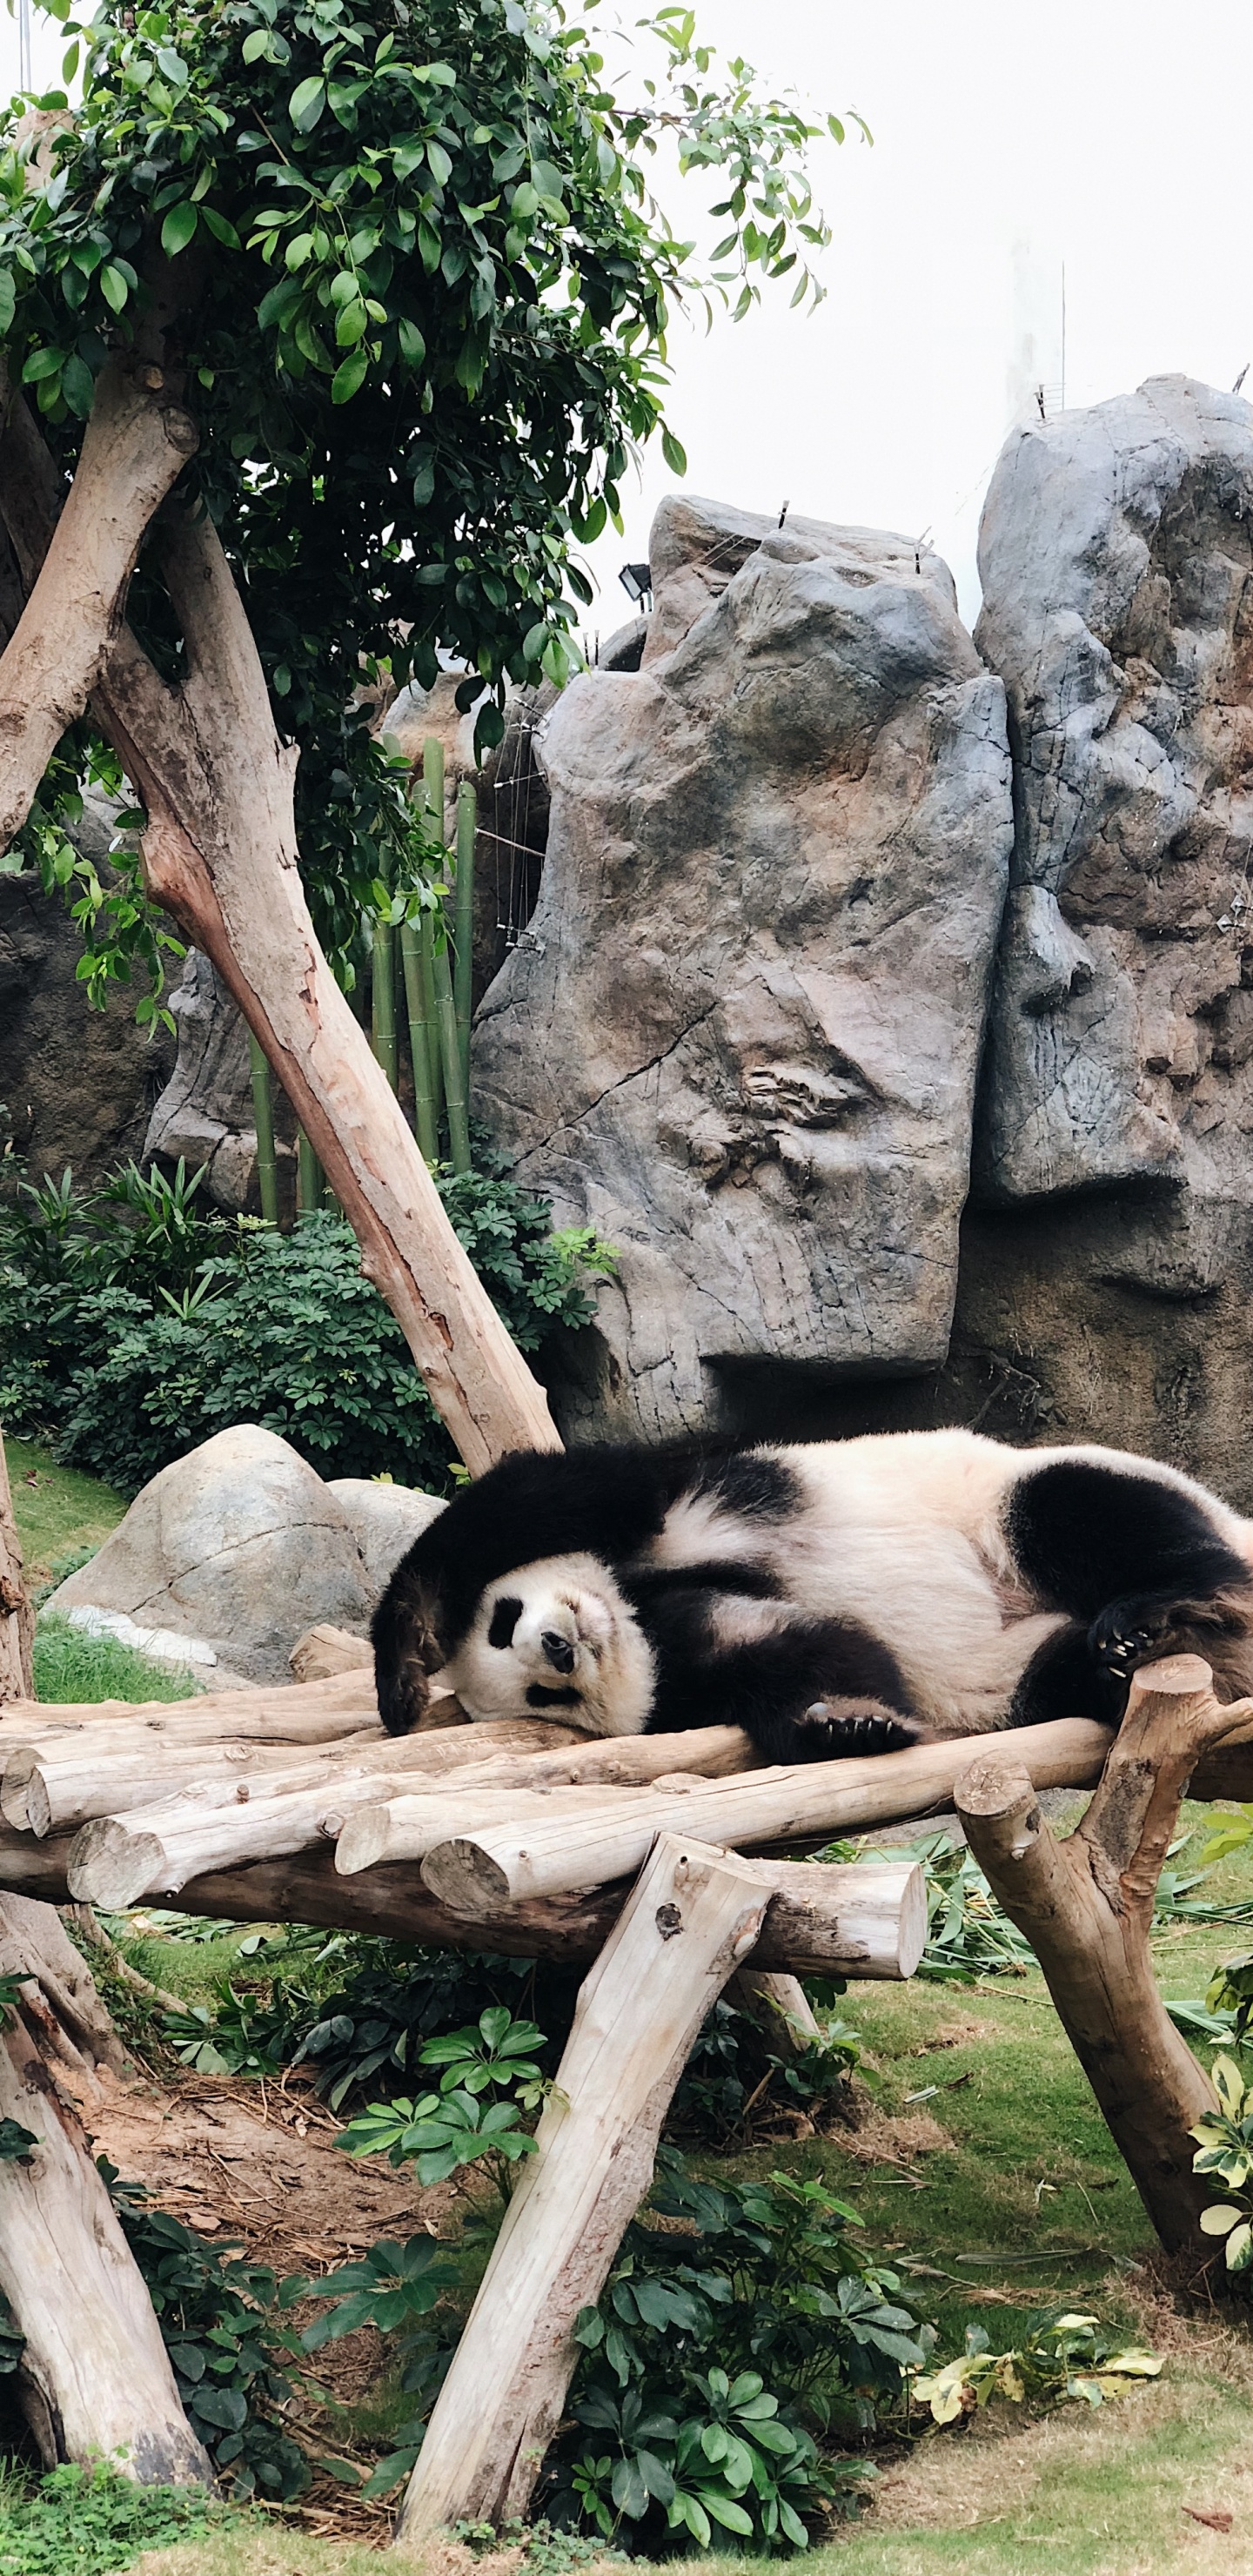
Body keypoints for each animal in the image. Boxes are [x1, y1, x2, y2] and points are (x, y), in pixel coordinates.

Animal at [371, 1428, 1253, 1763]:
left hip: (1009, 1495)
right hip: (1015, 1668)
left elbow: (544, 1499)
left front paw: (405, 1665)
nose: (557, 1647)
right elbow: (802, 1649)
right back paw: (1119, 1666)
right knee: (1057, 1672)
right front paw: (848, 1724)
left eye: (504, 1621)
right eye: (540, 1697)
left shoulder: (678, 1510)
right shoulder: (682, 1665)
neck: (634, 1608)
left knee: (1079, 1510)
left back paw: (1159, 1608)